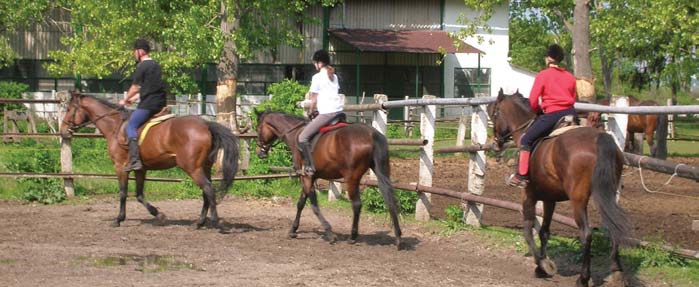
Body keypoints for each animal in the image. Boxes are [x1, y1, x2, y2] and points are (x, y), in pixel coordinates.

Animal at [58, 92, 238, 230]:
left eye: (69, 109)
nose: (63, 131)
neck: (114, 126)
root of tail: (206, 125)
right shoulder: (141, 169)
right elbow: (139, 195)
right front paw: (158, 214)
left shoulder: (120, 167)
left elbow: (123, 193)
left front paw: (118, 219)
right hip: (204, 167)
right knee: (206, 192)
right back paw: (199, 223)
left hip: (192, 168)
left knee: (208, 189)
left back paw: (215, 222)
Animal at [256, 110, 400, 250]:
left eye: (258, 129)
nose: (259, 152)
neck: (295, 134)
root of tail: (371, 134)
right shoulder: (309, 177)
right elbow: (301, 203)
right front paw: (293, 230)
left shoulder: (306, 177)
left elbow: (314, 206)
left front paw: (329, 233)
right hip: (380, 172)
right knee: (390, 199)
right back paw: (398, 237)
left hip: (351, 178)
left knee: (357, 204)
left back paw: (352, 237)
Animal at [490, 90, 632, 287]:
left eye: (495, 113)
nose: (496, 143)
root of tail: (599, 138)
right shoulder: (549, 199)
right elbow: (544, 231)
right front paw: (541, 265)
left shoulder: (528, 195)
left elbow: (527, 230)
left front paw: (542, 265)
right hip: (607, 194)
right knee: (613, 226)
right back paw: (617, 270)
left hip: (578, 200)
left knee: (586, 233)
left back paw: (583, 278)